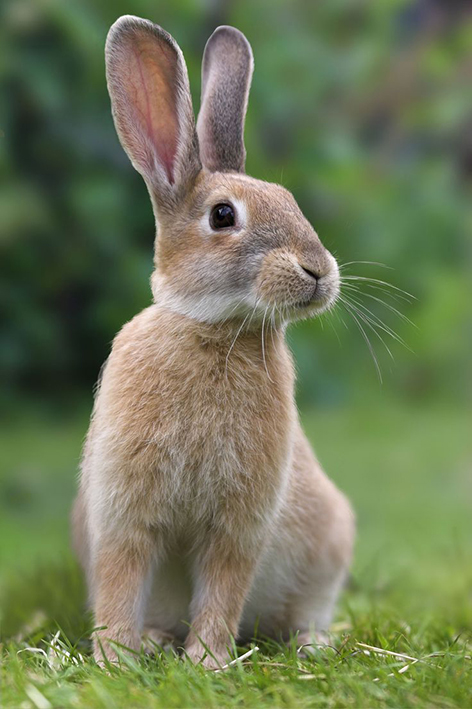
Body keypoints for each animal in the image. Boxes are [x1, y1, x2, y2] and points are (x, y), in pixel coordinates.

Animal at [72, 15, 355, 668]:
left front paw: (207, 661)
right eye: (223, 216)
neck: (214, 329)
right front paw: (116, 658)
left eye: (291, 201)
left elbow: (224, 587)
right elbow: (121, 580)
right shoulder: (123, 512)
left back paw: (312, 644)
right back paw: (154, 641)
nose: (318, 271)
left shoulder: (239, 522)